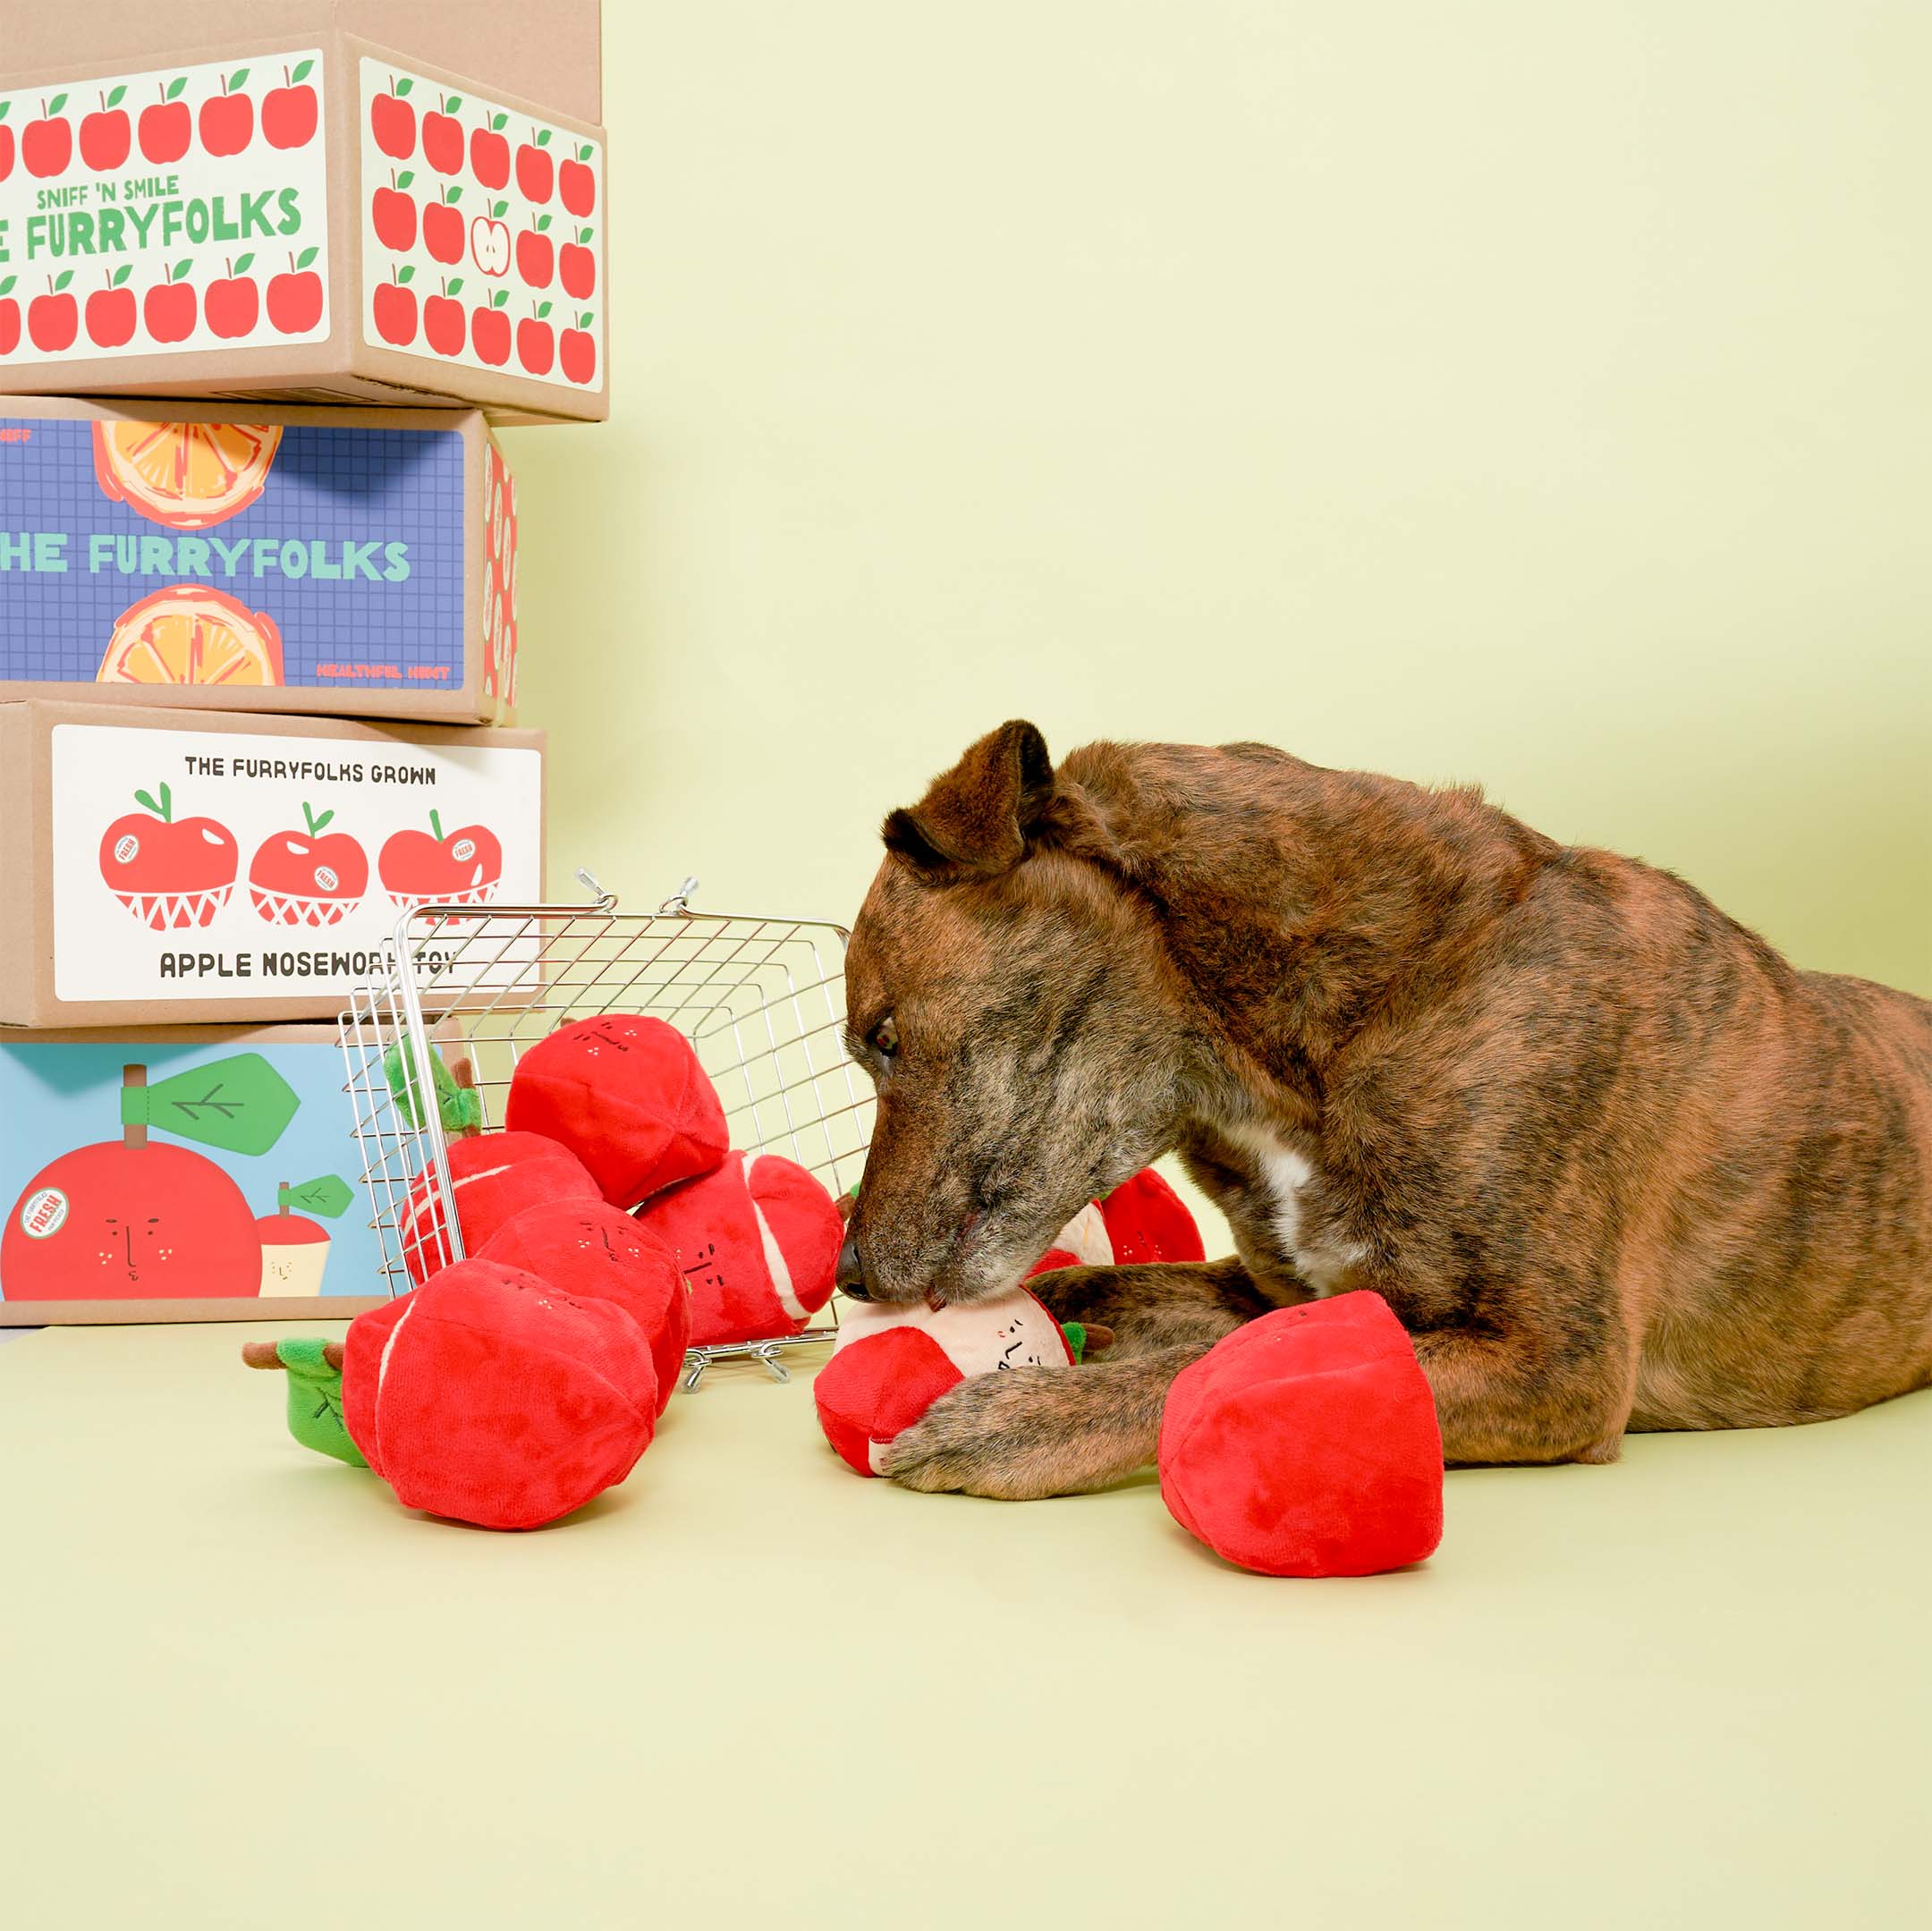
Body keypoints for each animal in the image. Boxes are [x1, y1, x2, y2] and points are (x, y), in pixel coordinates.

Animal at [842, 725, 1932, 1490]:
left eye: (881, 1036)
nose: (847, 1273)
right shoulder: (1298, 1291)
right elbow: (1134, 1285)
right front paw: (1074, 1319)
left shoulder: (1555, 1363)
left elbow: (1202, 1371)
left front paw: (1018, 1420)